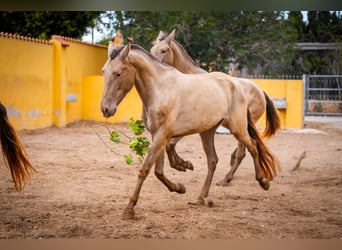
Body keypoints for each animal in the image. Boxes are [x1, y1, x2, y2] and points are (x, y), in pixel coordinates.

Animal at [99, 43, 280, 219]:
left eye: (118, 74)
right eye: (104, 72)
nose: (106, 109)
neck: (160, 90)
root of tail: (236, 84)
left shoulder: (163, 135)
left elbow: (146, 169)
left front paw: (129, 209)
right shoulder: (157, 135)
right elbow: (158, 171)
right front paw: (179, 187)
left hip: (237, 129)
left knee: (252, 148)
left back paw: (262, 182)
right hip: (207, 132)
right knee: (213, 160)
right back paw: (200, 198)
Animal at [151, 29, 282, 186]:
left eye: (164, 50)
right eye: (152, 49)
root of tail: (260, 91)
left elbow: (170, 145)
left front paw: (182, 165)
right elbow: (170, 145)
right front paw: (182, 165)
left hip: (240, 126)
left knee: (243, 152)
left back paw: (226, 179)